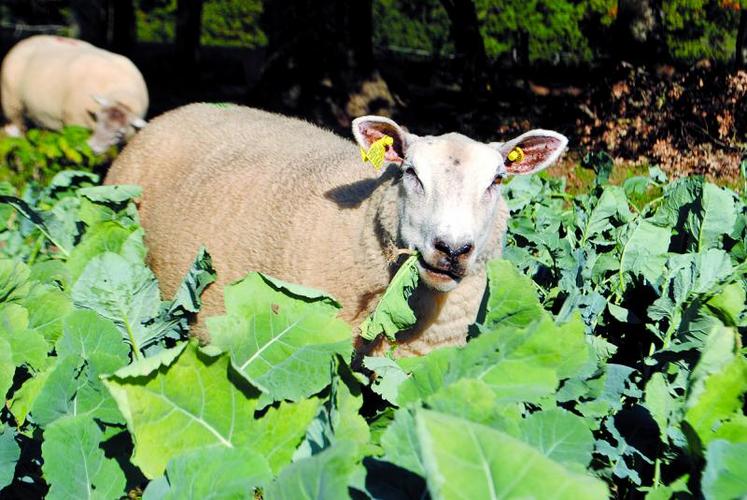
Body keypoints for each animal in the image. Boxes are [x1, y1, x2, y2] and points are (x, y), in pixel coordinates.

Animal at [0, 34, 148, 152]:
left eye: (120, 133)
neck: (121, 96)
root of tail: (26, 41)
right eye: (98, 120)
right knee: (17, 131)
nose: (93, 148)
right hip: (12, 103)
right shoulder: (75, 123)